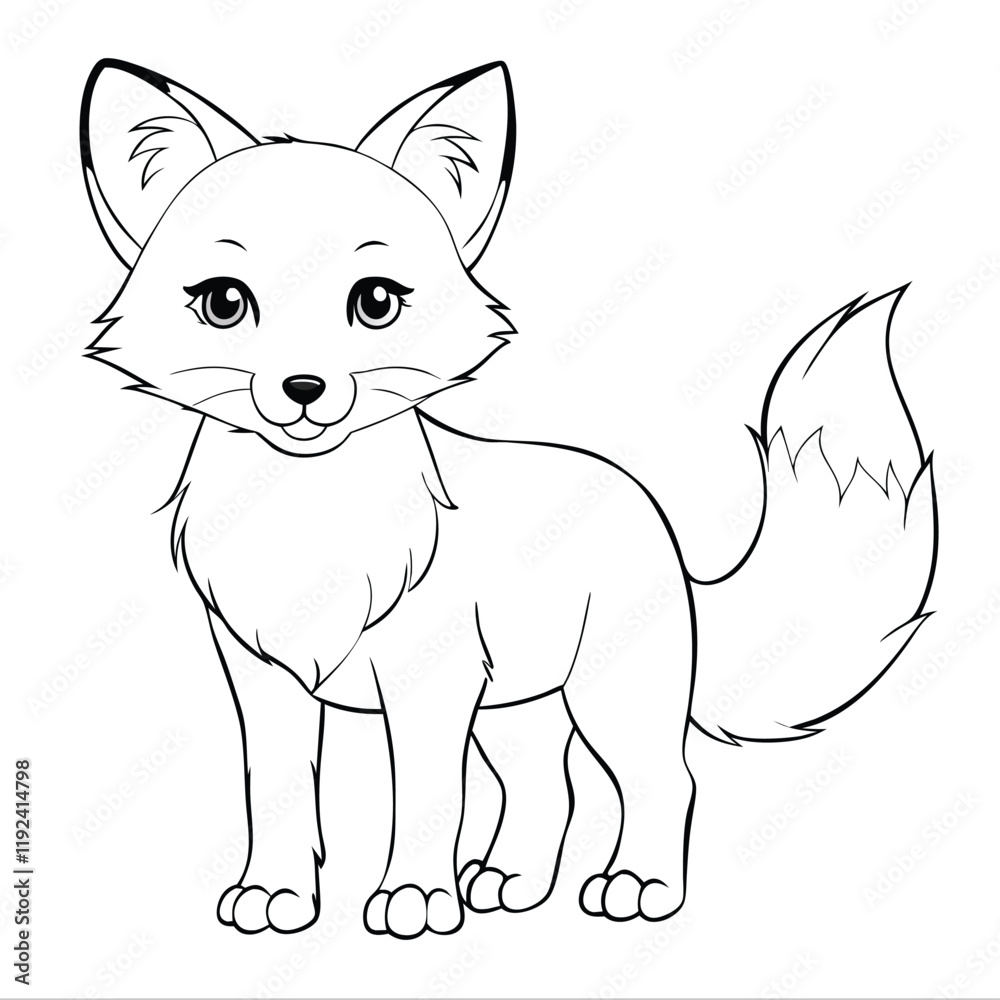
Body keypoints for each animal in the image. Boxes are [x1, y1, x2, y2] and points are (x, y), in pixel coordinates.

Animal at [80, 58, 938, 939]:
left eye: (375, 302)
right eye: (225, 302)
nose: (304, 389)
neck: (312, 531)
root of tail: (653, 513)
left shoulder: (427, 688)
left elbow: (426, 800)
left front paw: (414, 901)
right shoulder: (264, 681)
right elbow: (276, 794)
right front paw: (276, 895)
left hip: (607, 700)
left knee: (669, 780)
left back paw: (637, 885)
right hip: (514, 707)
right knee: (545, 789)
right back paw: (508, 882)